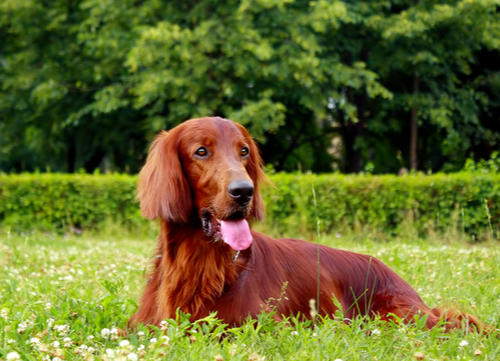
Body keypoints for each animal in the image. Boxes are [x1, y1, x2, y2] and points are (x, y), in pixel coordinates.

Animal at [129, 116, 484, 332]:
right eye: (201, 151)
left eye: (244, 151)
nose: (244, 191)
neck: (201, 261)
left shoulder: (258, 327)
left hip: (399, 317)